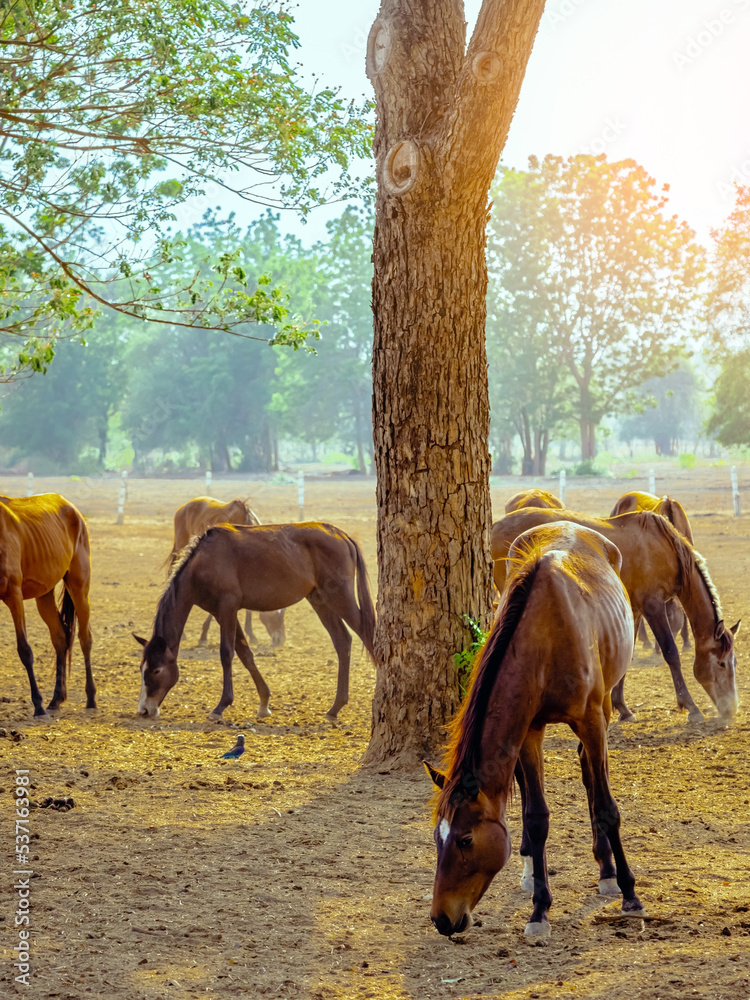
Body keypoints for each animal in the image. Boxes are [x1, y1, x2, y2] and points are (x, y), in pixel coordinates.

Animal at [0, 493, 95, 716]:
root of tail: (71, 507)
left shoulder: (14, 595)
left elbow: (25, 650)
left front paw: (37, 705)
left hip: (78, 587)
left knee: (84, 638)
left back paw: (90, 698)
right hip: (44, 595)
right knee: (60, 638)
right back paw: (56, 699)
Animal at [135, 521, 375, 722]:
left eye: (157, 670)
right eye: (142, 668)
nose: (144, 709)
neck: (203, 562)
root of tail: (341, 535)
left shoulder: (227, 607)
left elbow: (226, 654)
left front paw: (221, 707)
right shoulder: (222, 612)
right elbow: (245, 654)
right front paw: (264, 703)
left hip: (339, 597)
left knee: (366, 634)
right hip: (320, 600)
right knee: (342, 641)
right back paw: (336, 707)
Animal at [168, 496, 285, 648]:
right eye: (277, 614)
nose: (280, 639)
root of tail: (183, 507)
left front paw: (251, 635)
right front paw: (203, 636)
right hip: (181, 548)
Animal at [426, 521, 644, 939]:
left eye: (465, 839)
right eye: (436, 838)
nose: (441, 920)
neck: (546, 635)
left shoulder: (591, 719)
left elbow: (607, 807)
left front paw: (629, 893)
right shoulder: (529, 730)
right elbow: (536, 816)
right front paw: (540, 909)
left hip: (605, 708)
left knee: (591, 773)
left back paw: (607, 871)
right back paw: (532, 869)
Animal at [492, 508, 740, 723]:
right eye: (721, 664)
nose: (731, 710)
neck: (665, 548)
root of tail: (496, 526)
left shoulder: (635, 610)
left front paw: (623, 708)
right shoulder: (653, 606)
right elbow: (671, 653)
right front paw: (691, 707)